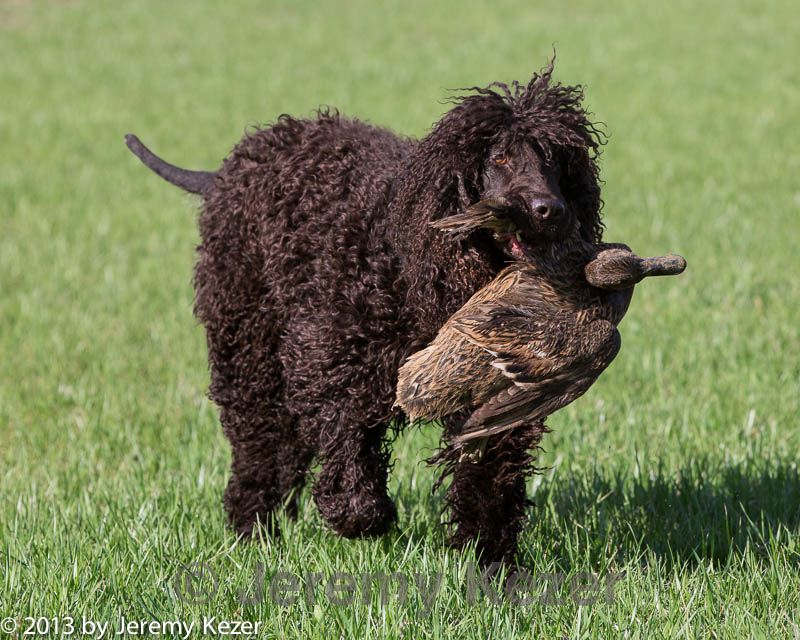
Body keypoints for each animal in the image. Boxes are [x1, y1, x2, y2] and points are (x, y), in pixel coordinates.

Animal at [125, 58, 604, 560]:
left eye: (557, 162)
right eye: (499, 159)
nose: (550, 209)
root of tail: (228, 170)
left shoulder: (496, 390)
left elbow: (490, 473)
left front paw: (488, 558)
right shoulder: (331, 358)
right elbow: (345, 438)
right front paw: (359, 514)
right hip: (247, 344)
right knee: (258, 441)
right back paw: (252, 529)